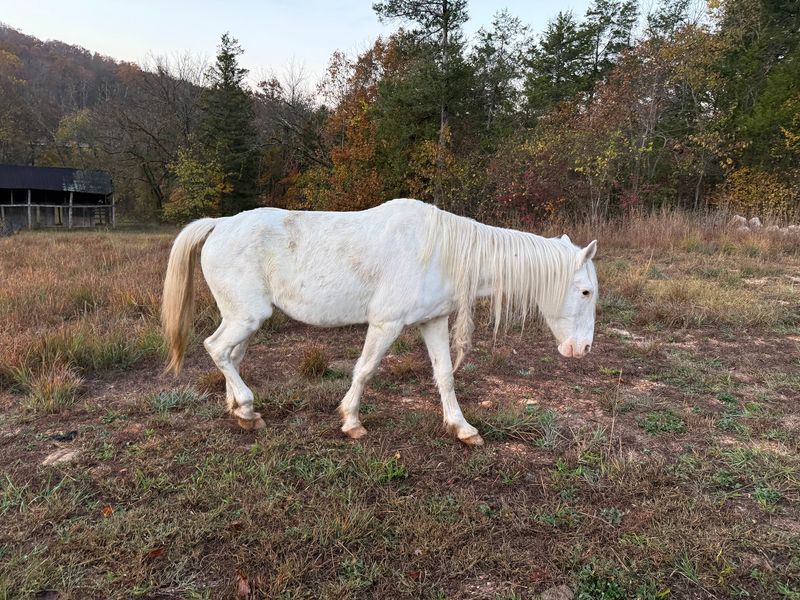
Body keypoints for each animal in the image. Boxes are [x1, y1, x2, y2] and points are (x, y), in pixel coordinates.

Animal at [161, 198, 598, 446]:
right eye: (585, 292)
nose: (583, 350)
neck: (438, 250)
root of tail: (220, 223)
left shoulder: (434, 321)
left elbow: (444, 376)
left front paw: (462, 428)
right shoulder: (387, 323)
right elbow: (365, 369)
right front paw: (351, 422)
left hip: (243, 318)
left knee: (231, 356)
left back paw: (239, 411)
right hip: (247, 316)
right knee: (217, 349)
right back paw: (247, 408)